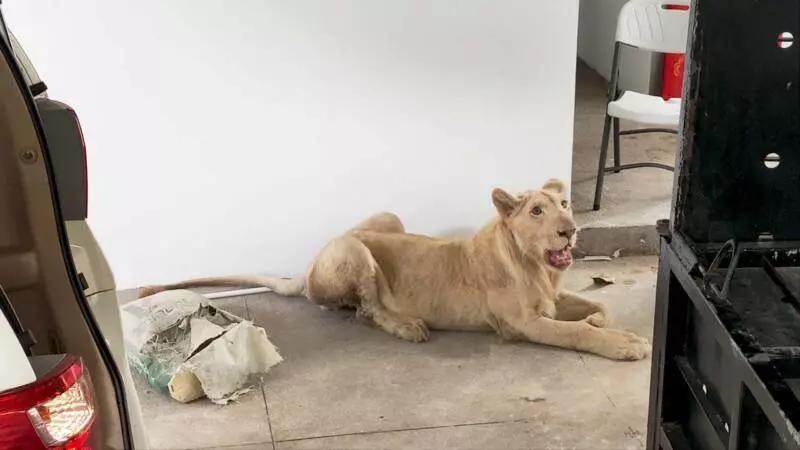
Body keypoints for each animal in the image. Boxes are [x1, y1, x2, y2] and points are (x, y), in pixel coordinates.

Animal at [139, 179, 650, 361]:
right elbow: (575, 332)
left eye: (565, 205)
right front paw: (626, 344)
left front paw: (603, 322)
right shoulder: (520, 323)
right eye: (537, 212)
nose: (571, 230)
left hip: (388, 217)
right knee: (367, 310)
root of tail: (309, 264)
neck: (535, 265)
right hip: (355, 250)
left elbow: (596, 309)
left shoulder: (552, 299)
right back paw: (408, 327)